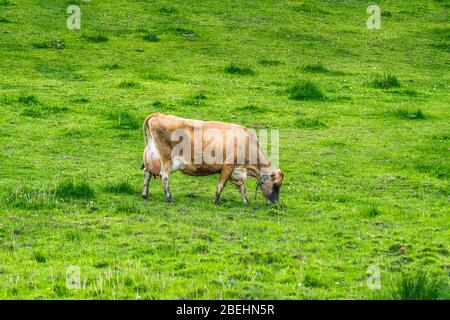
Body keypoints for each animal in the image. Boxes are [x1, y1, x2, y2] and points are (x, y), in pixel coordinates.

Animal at [141, 112, 284, 205]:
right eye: (276, 185)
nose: (275, 203)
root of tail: (158, 115)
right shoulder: (228, 166)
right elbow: (221, 184)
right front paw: (216, 201)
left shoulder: (237, 171)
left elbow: (241, 187)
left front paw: (246, 202)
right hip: (166, 159)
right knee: (164, 176)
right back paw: (169, 198)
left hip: (152, 157)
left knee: (147, 173)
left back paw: (145, 195)